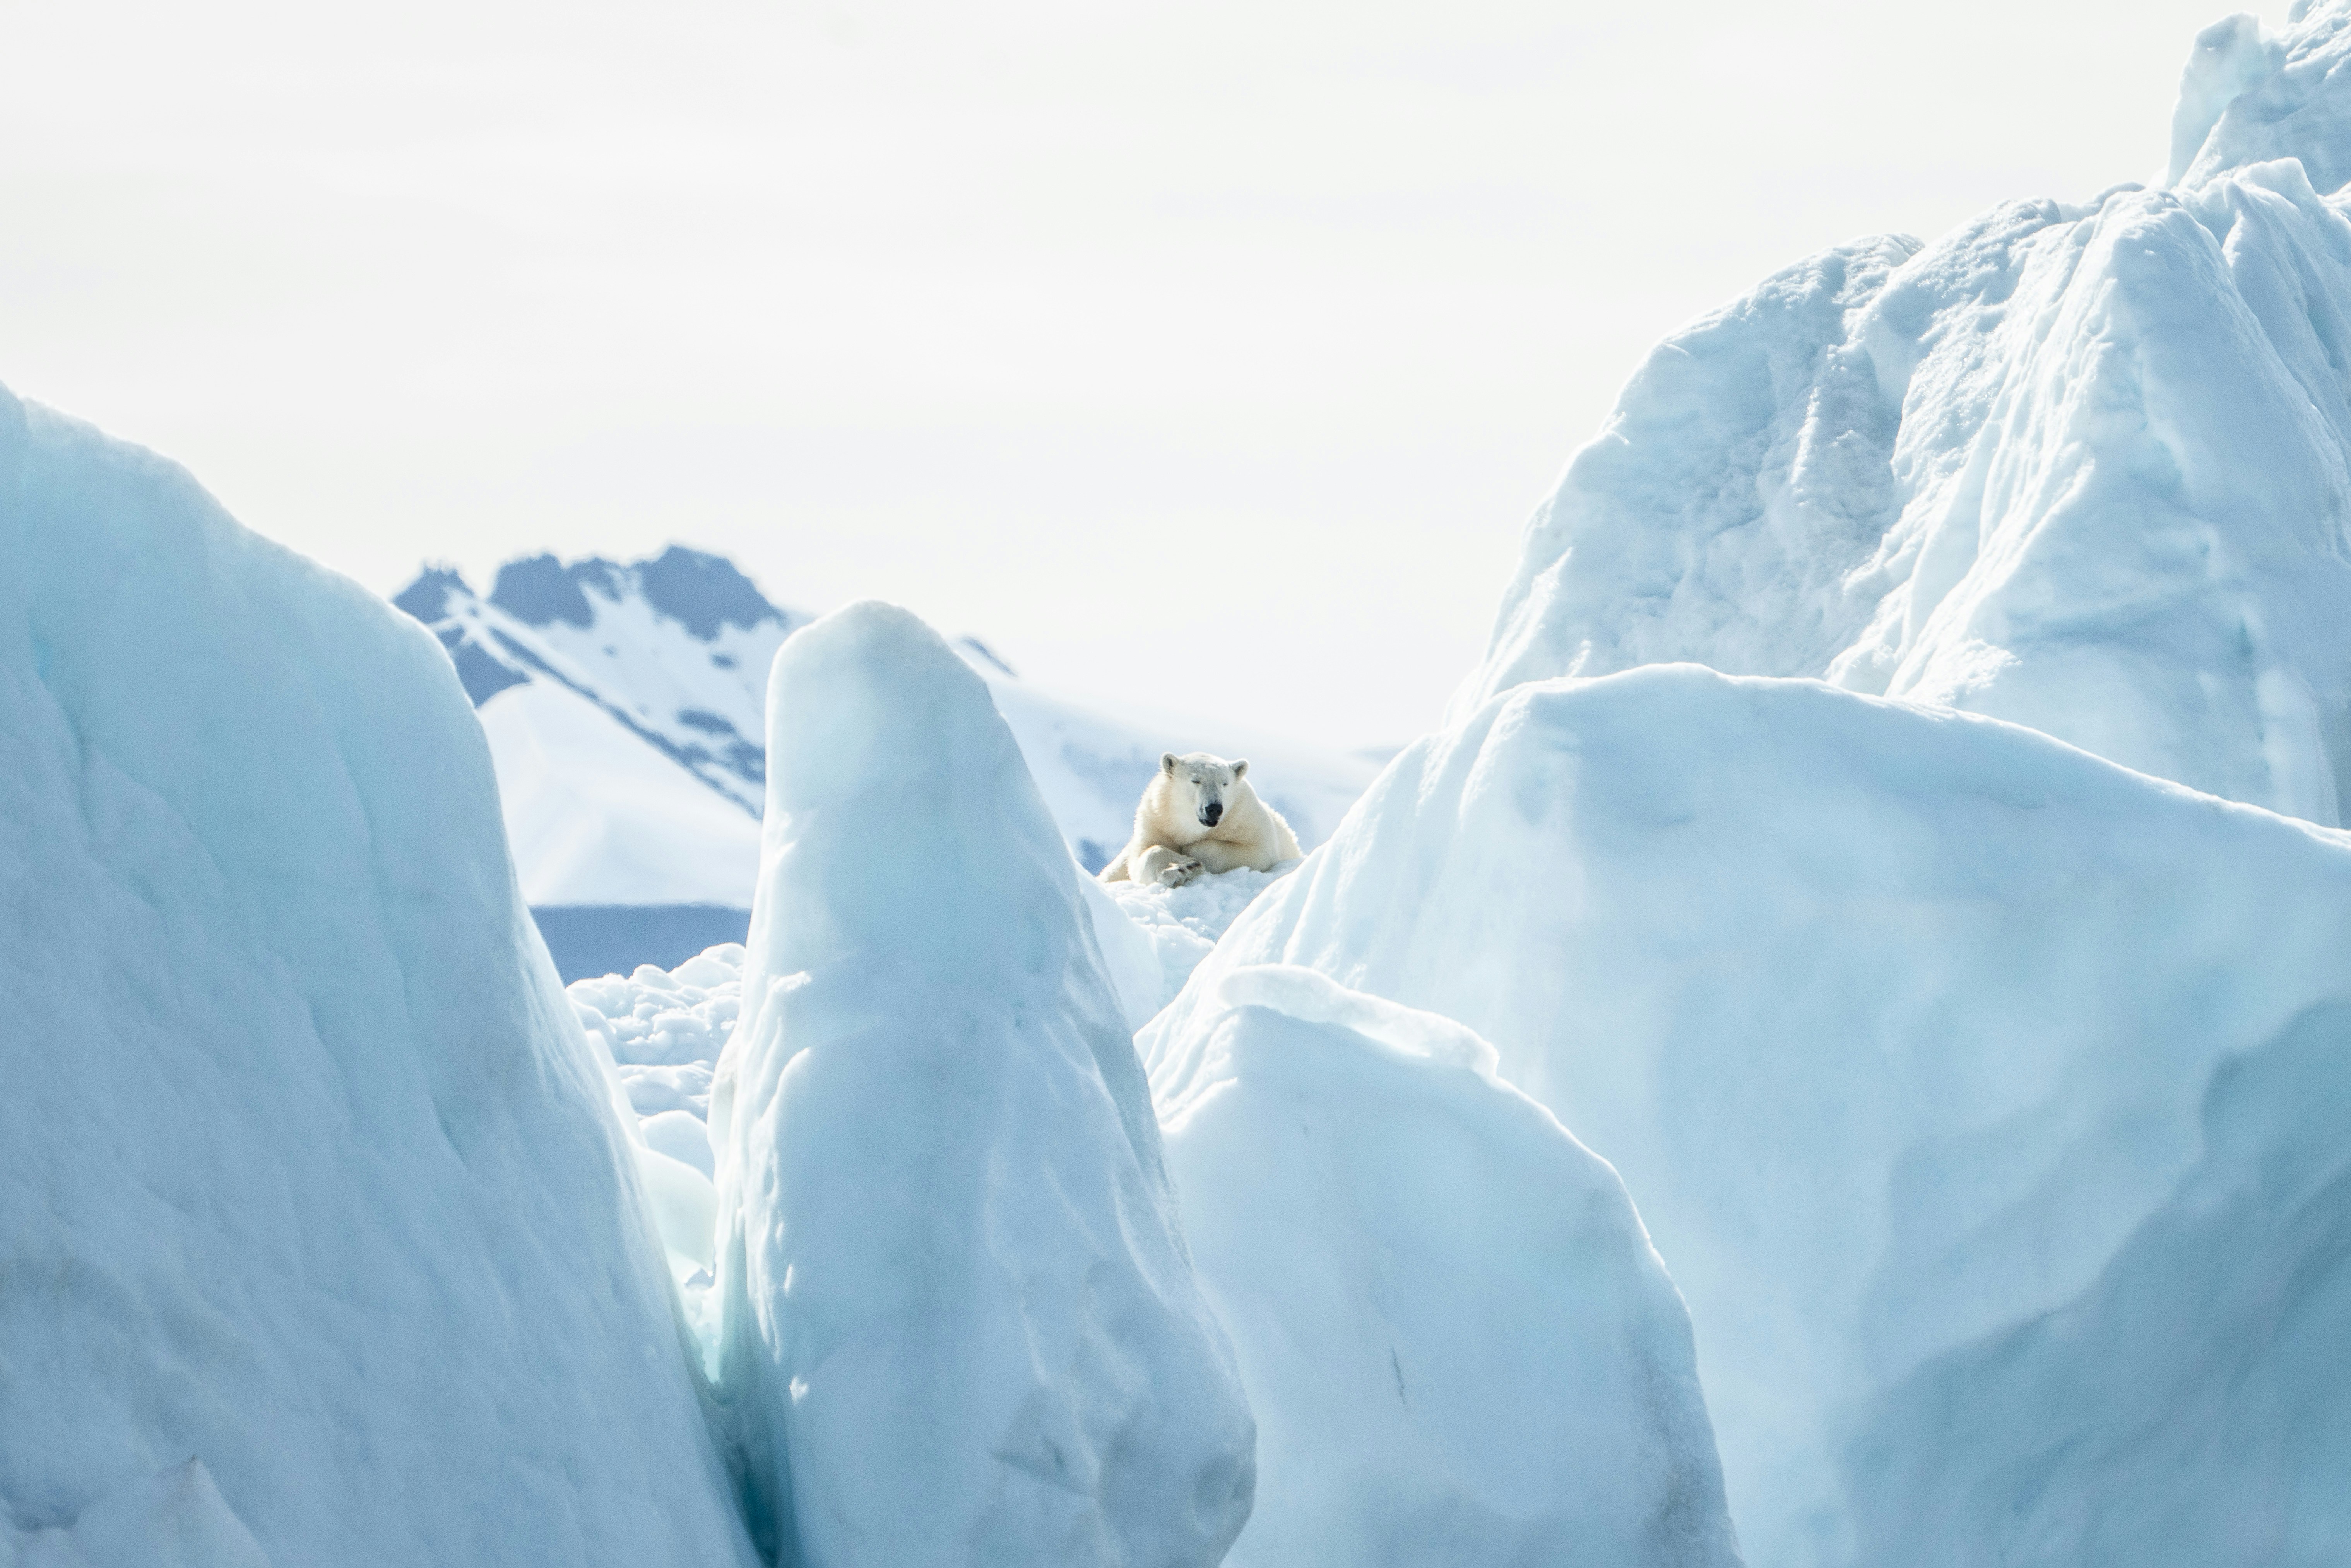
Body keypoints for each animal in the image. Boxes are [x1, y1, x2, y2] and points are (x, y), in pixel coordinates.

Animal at [1098, 751, 1303, 887]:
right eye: (1196, 781)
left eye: (1225, 783)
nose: (1214, 809)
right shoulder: (1156, 819)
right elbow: (1142, 856)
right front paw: (1180, 868)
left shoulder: (1245, 817)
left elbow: (1258, 852)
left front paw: (1191, 859)